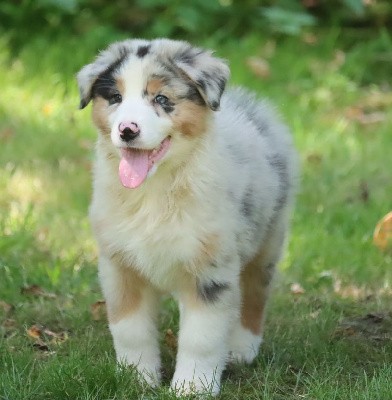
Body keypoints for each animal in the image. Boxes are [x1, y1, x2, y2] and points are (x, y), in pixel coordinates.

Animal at [76, 38, 298, 396]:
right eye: (116, 98)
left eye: (162, 99)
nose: (127, 130)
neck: (155, 192)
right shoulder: (119, 265)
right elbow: (129, 329)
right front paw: (136, 379)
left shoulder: (210, 271)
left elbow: (201, 339)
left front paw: (192, 388)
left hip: (267, 239)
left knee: (254, 294)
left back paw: (242, 349)